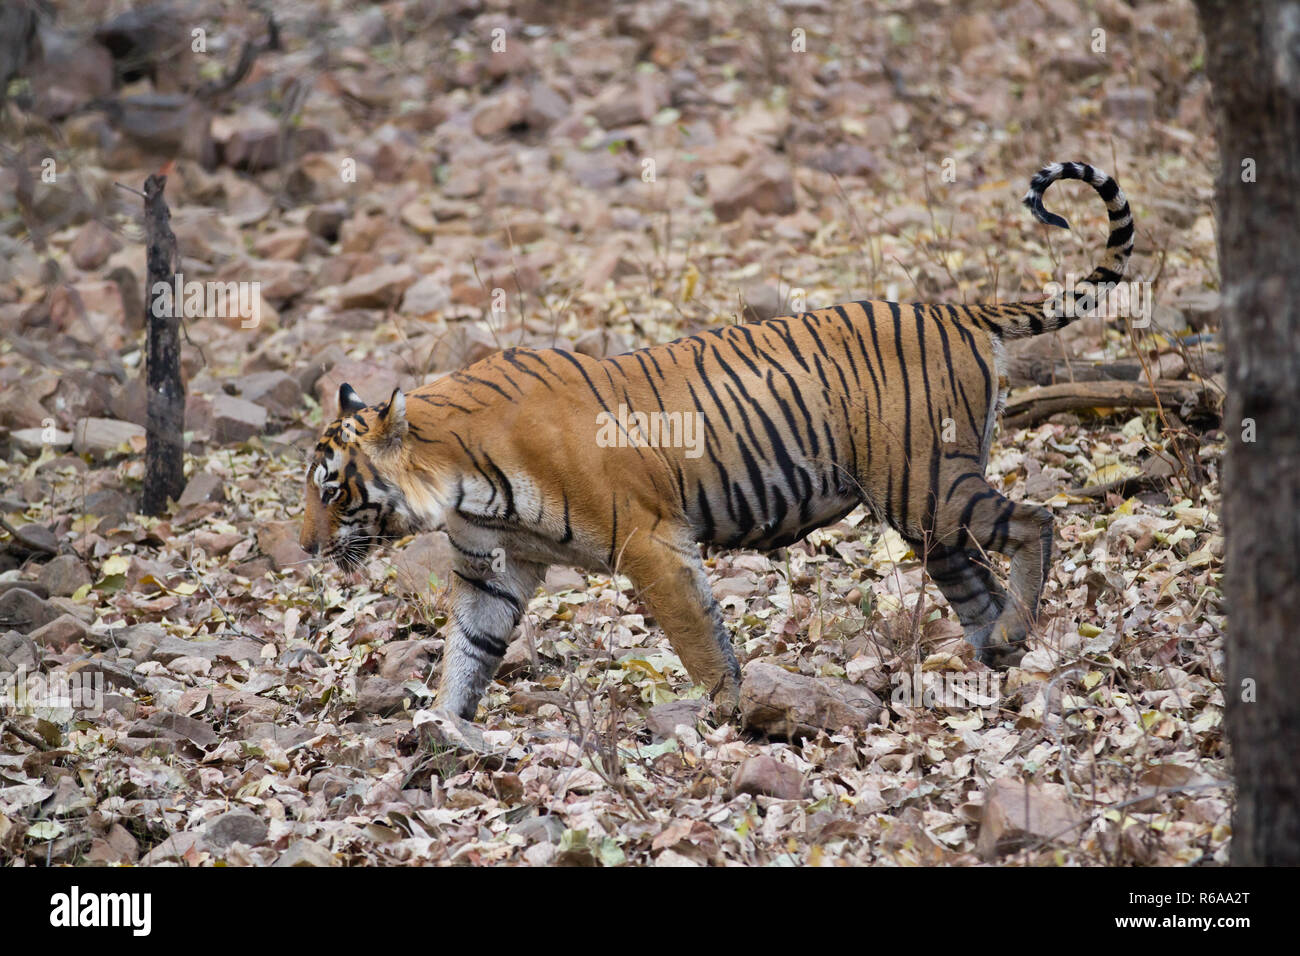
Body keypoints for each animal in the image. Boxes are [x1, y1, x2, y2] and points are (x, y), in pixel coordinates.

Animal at [299, 160, 1133, 723]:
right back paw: (994, 659)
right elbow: (466, 657)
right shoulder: (495, 570)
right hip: (927, 513)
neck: (459, 485)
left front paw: (731, 713)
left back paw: (1012, 634)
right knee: (976, 580)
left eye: (332, 490)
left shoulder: (651, 543)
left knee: (1036, 521)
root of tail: (954, 309)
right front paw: (441, 731)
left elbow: (700, 639)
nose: (304, 549)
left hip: (924, 481)